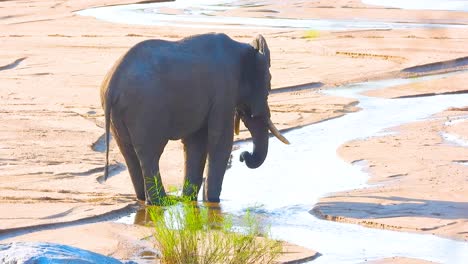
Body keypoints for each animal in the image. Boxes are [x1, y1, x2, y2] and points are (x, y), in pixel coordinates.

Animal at [100, 33, 288, 205]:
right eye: (269, 85)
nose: (244, 156)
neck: (245, 50)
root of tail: (111, 86)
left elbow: (196, 143)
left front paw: (189, 200)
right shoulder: (224, 91)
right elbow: (220, 142)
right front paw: (212, 201)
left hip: (121, 116)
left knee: (129, 154)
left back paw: (146, 200)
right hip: (145, 110)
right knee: (150, 153)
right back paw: (163, 202)